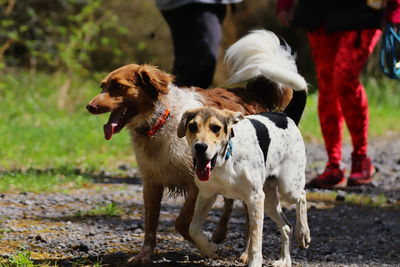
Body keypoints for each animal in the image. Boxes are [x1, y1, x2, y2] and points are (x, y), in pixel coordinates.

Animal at [178, 107, 312, 267]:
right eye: (192, 126)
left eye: (216, 128)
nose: (200, 147)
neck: (225, 160)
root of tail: (283, 115)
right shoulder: (206, 194)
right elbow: (194, 229)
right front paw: (209, 249)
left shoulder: (255, 199)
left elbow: (255, 238)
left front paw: (254, 262)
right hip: (268, 200)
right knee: (286, 226)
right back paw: (284, 260)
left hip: (288, 187)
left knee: (302, 196)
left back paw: (303, 234)